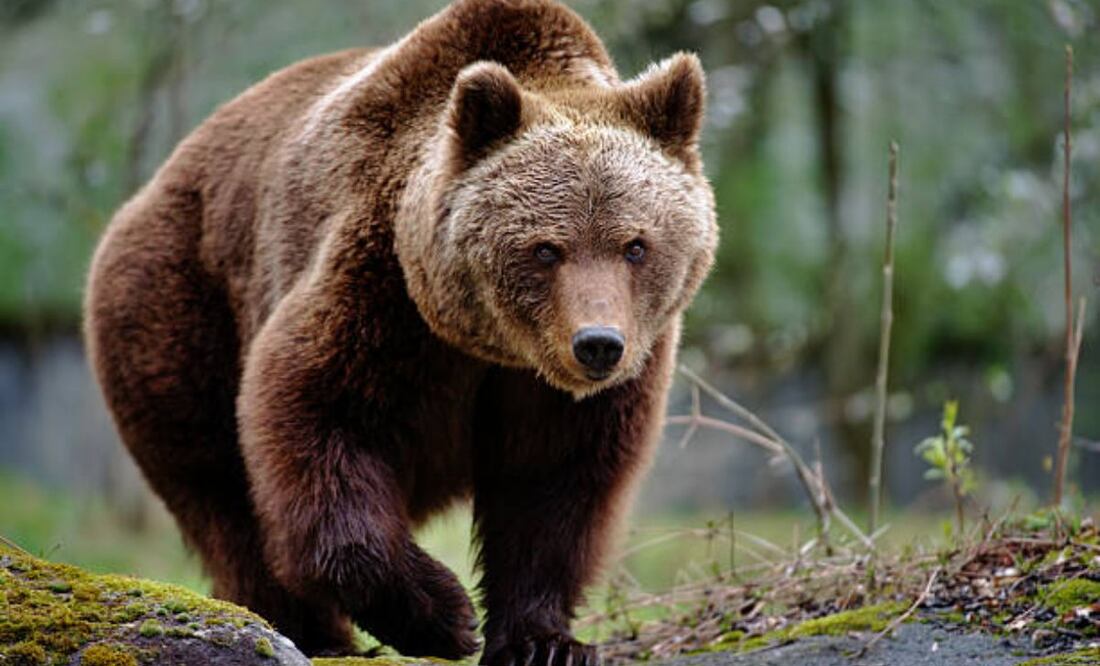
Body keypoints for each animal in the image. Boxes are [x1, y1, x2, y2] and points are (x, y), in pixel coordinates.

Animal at [83, 0, 718, 663]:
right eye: (546, 248)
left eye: (636, 245)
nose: (597, 344)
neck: (488, 345)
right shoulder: (380, 292)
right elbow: (319, 421)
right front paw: (444, 614)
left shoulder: (577, 385)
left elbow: (553, 486)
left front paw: (542, 640)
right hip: (179, 306)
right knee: (219, 487)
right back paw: (308, 628)